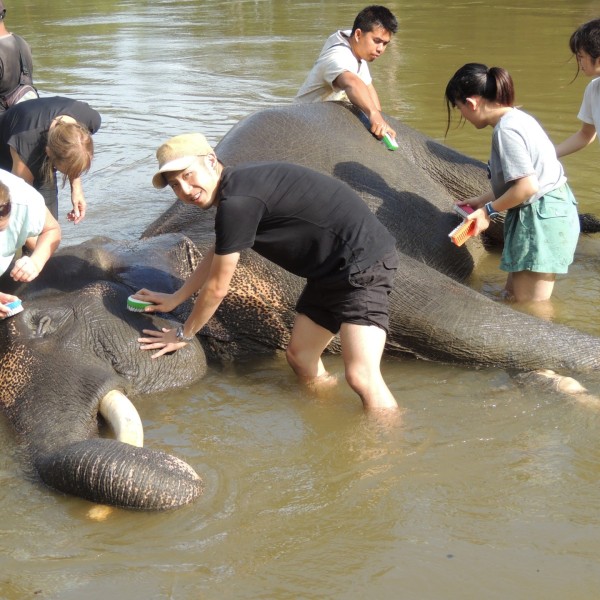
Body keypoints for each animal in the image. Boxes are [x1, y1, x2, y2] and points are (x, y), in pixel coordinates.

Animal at [1, 101, 600, 508]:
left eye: (43, 323)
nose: (192, 474)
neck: (160, 239)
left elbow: (460, 321)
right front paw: (554, 384)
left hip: (422, 150)